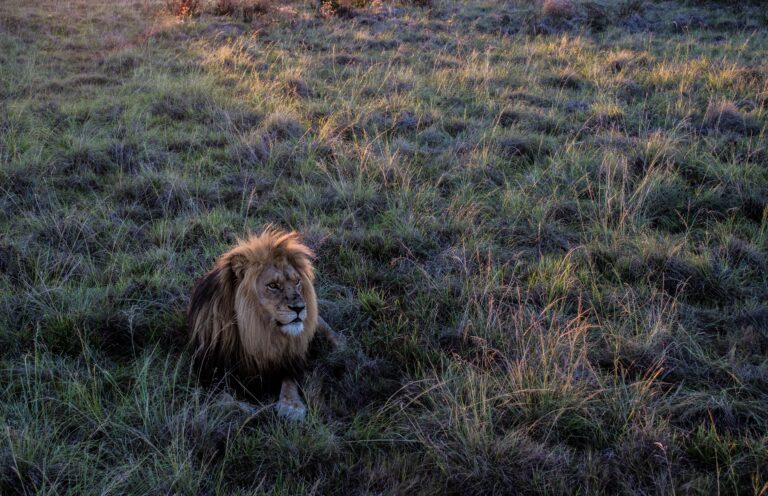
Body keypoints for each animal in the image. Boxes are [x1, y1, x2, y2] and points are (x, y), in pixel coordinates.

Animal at [187, 227, 340, 420]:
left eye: (297, 281)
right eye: (273, 285)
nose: (299, 307)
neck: (258, 331)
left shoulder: (290, 358)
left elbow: (289, 380)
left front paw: (291, 406)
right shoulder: (208, 371)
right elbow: (223, 398)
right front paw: (250, 410)